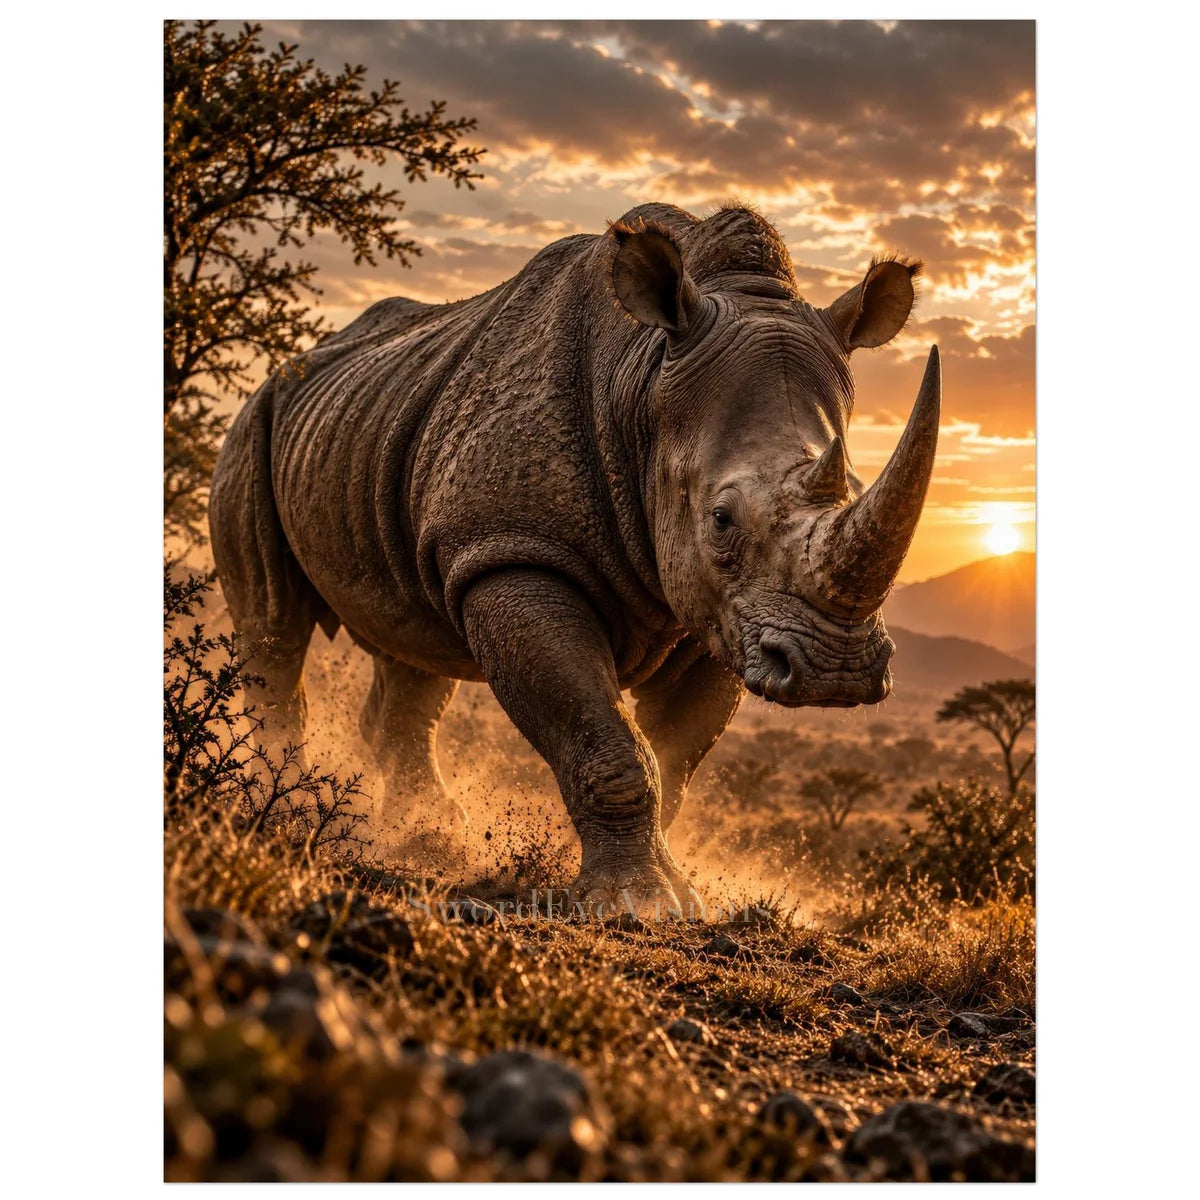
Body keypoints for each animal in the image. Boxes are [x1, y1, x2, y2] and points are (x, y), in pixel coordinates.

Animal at [210, 202, 939, 914]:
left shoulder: (723, 612)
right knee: (274, 626)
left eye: (854, 489)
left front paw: (669, 887)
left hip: (376, 430)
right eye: (722, 519)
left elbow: (673, 758)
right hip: (254, 425)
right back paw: (283, 807)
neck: (643, 382)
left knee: (412, 643)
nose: (835, 672)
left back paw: (425, 834)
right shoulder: (514, 552)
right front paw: (634, 906)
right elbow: (604, 736)